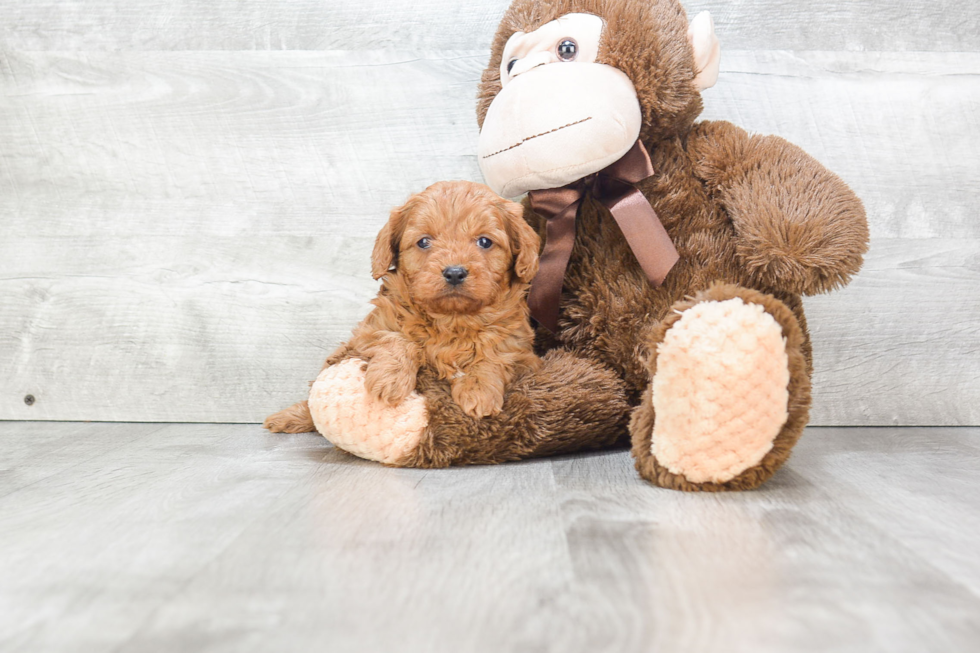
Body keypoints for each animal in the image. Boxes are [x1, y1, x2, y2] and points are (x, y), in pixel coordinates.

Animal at [264, 180, 540, 432]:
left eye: (484, 242)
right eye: (424, 242)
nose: (454, 273)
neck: (451, 318)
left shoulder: (520, 349)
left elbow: (495, 353)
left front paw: (478, 389)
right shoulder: (366, 332)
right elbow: (397, 339)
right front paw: (389, 380)